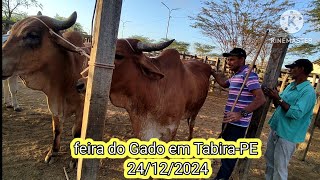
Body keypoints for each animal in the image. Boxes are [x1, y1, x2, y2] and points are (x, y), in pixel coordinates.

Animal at [1, 11, 87, 166]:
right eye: (10, 33)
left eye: (32, 35)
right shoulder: (53, 105)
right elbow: (56, 130)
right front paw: (52, 152)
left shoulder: (81, 108)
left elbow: (76, 133)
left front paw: (75, 160)